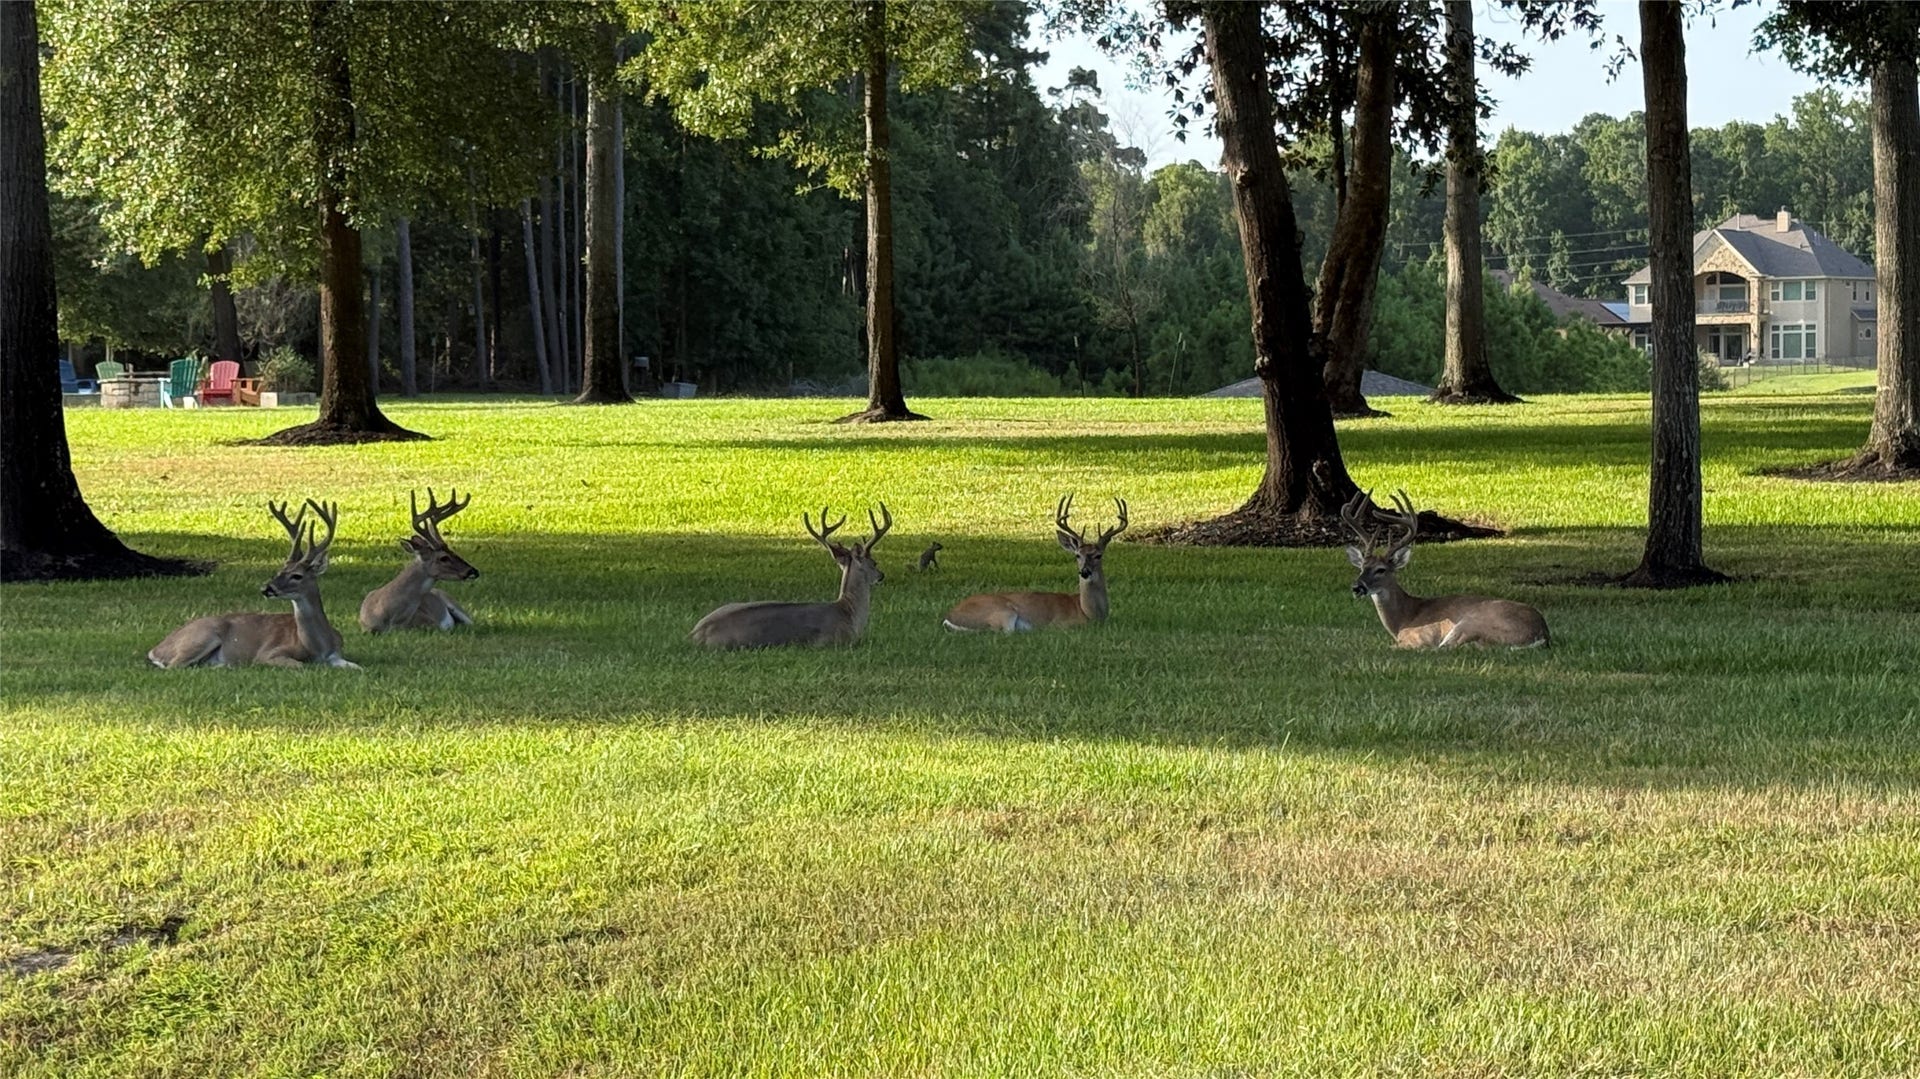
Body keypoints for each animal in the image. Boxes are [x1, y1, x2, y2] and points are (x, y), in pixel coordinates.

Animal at [148, 499, 361, 669]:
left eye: (297, 576)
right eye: (279, 571)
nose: (266, 588)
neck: (316, 647)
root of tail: (155, 650)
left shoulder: (337, 655)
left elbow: (357, 667)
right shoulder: (268, 653)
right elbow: (300, 665)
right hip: (202, 636)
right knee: (175, 666)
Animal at [942, 494, 1128, 632]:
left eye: (1098, 555)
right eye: (1077, 555)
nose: (1084, 571)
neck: (1088, 613)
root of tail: (949, 617)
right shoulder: (1061, 624)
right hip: (1002, 611)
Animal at [1340, 489, 1549, 649]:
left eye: (1381, 570)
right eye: (1361, 567)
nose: (1357, 587)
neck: (1404, 618)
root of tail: (1542, 633)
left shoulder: (1418, 637)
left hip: (1471, 622)